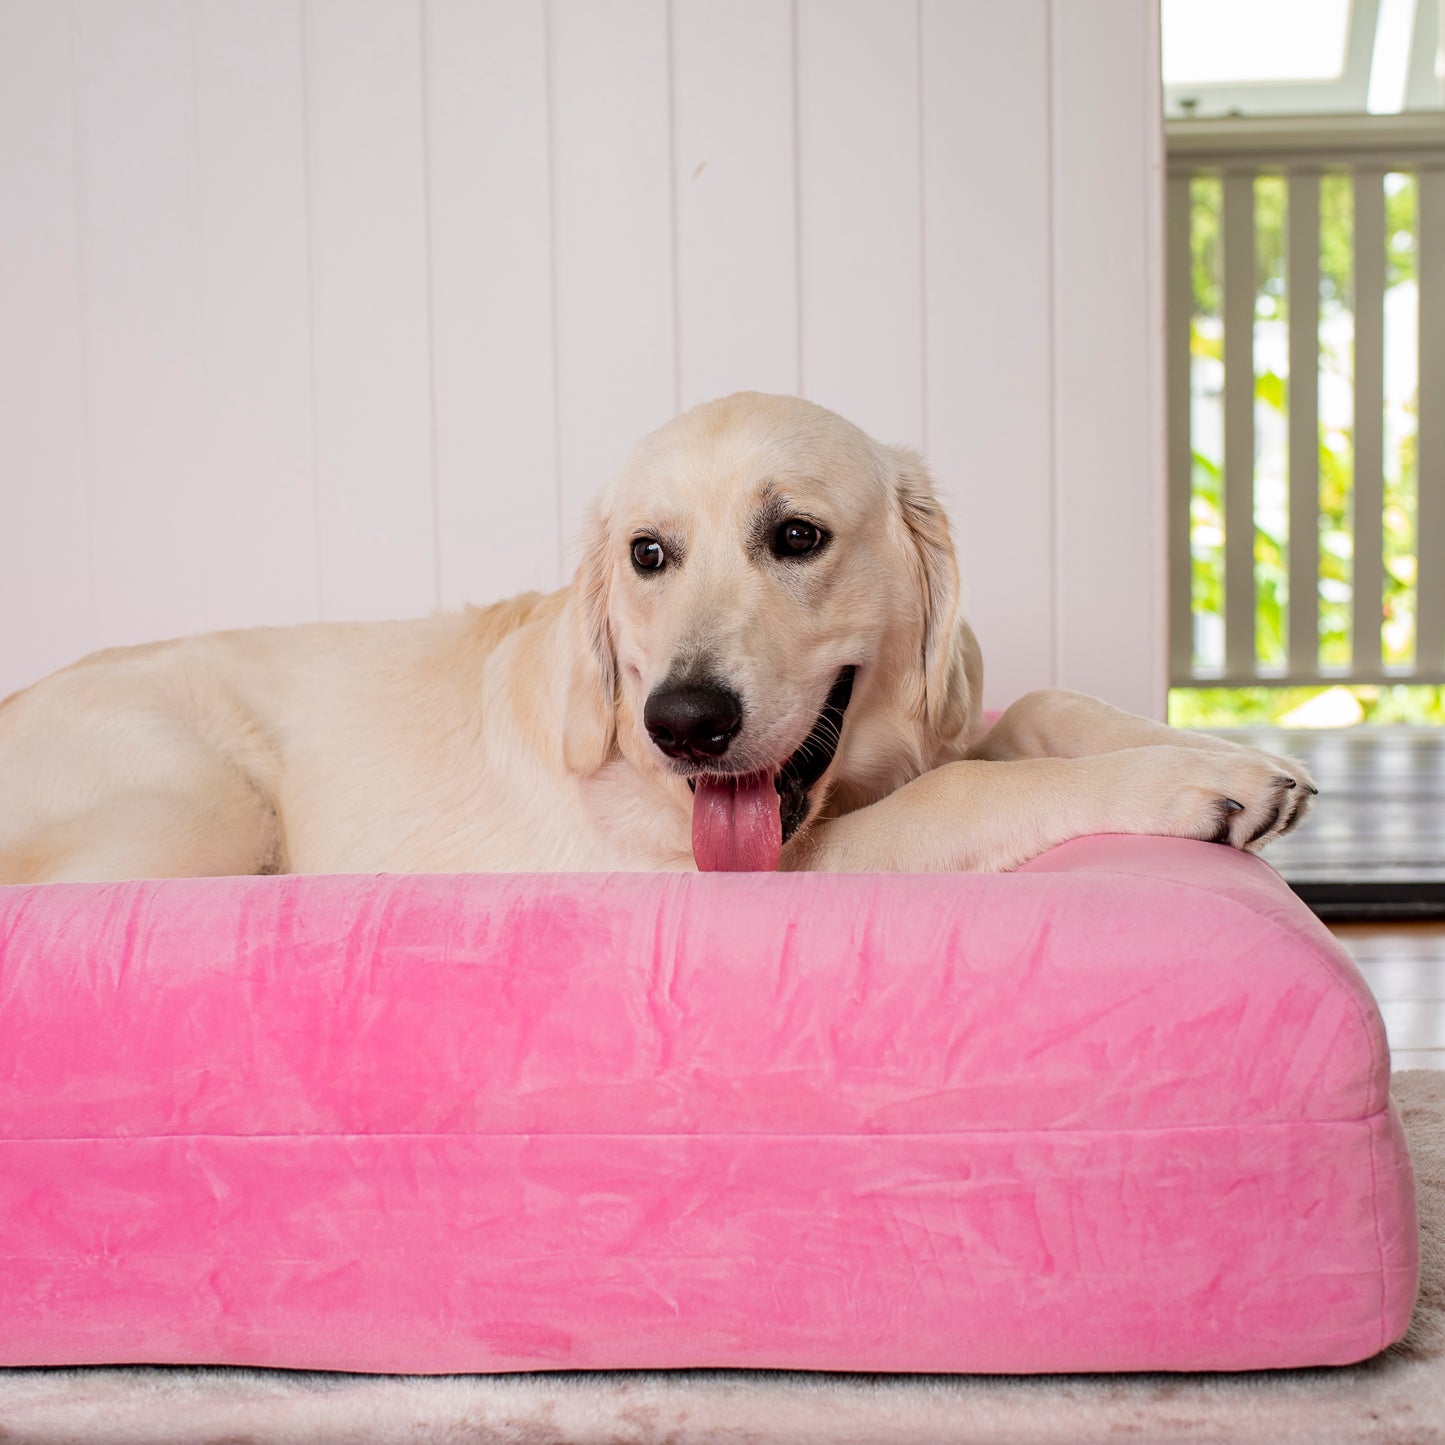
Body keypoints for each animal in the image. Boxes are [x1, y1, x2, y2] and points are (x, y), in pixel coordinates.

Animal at [0, 395, 1312, 884]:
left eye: (796, 534)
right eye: (647, 554)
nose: (683, 722)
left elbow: (1034, 708)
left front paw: (1221, 751)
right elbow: (964, 793)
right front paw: (1186, 779)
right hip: (203, 807)